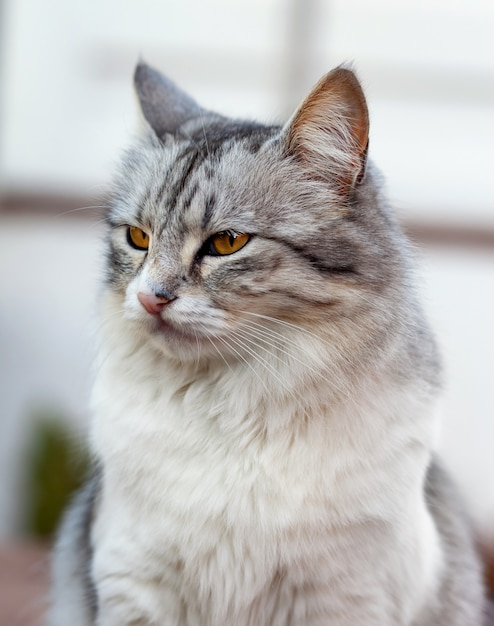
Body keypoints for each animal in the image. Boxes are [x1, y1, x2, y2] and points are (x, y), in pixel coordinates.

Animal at [47, 59, 486, 624]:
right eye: (138, 238)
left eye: (226, 243)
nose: (148, 298)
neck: (230, 413)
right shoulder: (135, 585)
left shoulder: (344, 597)